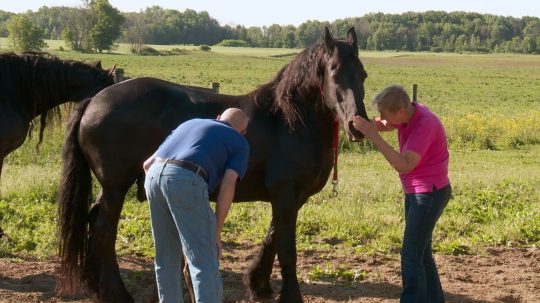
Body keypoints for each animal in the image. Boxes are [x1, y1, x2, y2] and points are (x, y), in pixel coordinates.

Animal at [59, 27, 370, 302]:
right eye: (334, 73)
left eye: (363, 74)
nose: (357, 126)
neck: (287, 120)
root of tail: (94, 101)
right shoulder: (285, 195)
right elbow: (286, 248)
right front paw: (289, 295)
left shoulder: (291, 198)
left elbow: (272, 237)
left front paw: (258, 285)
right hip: (116, 185)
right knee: (103, 229)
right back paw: (116, 293)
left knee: (93, 221)